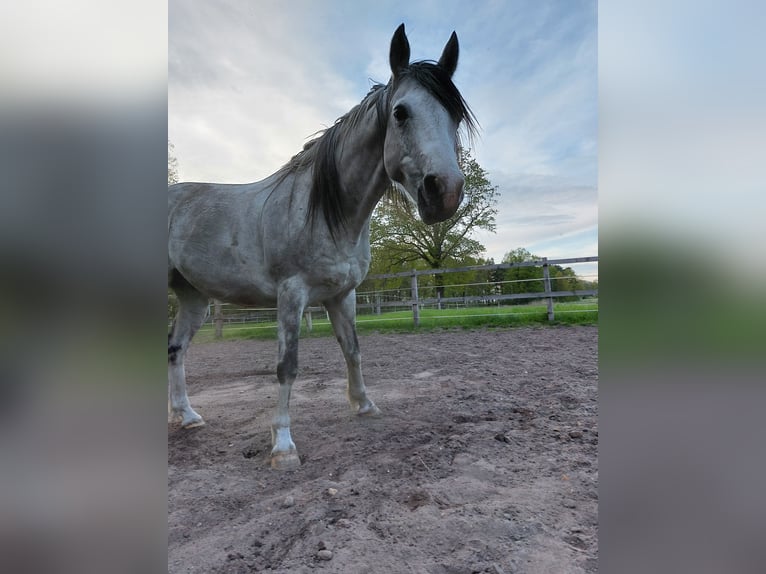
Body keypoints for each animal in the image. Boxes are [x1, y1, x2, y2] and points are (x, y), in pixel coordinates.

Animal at [170, 24, 480, 470]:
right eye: (400, 113)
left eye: (454, 116)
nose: (446, 193)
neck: (324, 211)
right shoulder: (291, 295)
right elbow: (287, 366)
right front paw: (283, 445)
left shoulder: (342, 295)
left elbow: (353, 350)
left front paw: (364, 406)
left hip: (193, 298)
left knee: (176, 350)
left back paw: (188, 416)